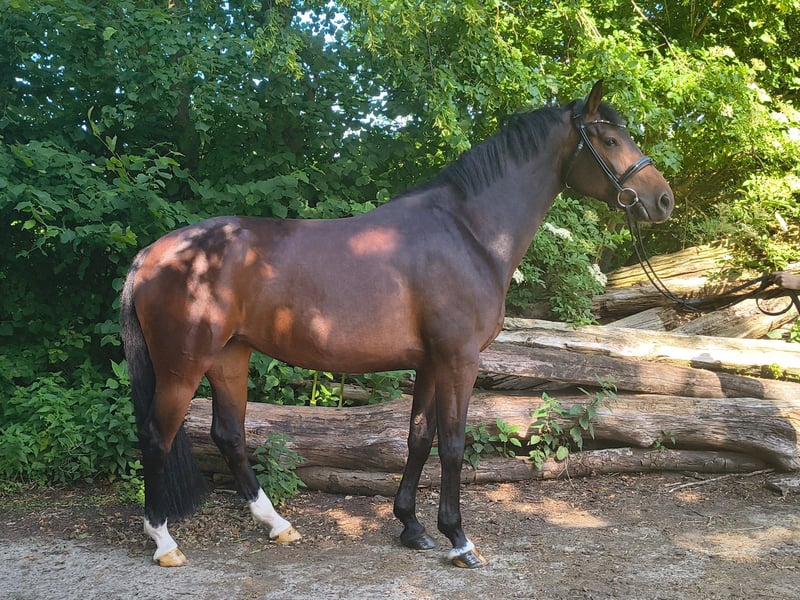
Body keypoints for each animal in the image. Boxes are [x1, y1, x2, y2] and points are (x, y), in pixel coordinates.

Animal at [120, 80, 674, 569]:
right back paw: (164, 542)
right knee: (156, 435)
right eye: (609, 140)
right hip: (183, 368)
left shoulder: (430, 364)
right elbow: (453, 445)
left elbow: (419, 440)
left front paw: (412, 527)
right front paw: (459, 540)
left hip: (230, 357)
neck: (467, 232)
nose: (663, 200)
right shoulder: (459, 361)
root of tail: (151, 255)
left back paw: (277, 525)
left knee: (229, 435)